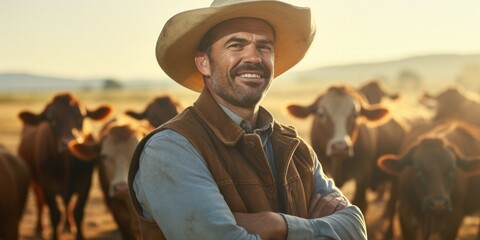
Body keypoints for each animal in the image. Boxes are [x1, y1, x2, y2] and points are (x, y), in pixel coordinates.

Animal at [17, 93, 111, 239]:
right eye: (51, 119)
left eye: (81, 117)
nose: (68, 143)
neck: (66, 165)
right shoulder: (47, 186)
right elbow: (55, 214)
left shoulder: (85, 184)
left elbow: (78, 212)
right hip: (34, 181)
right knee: (40, 203)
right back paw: (40, 228)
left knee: (67, 203)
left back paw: (68, 225)